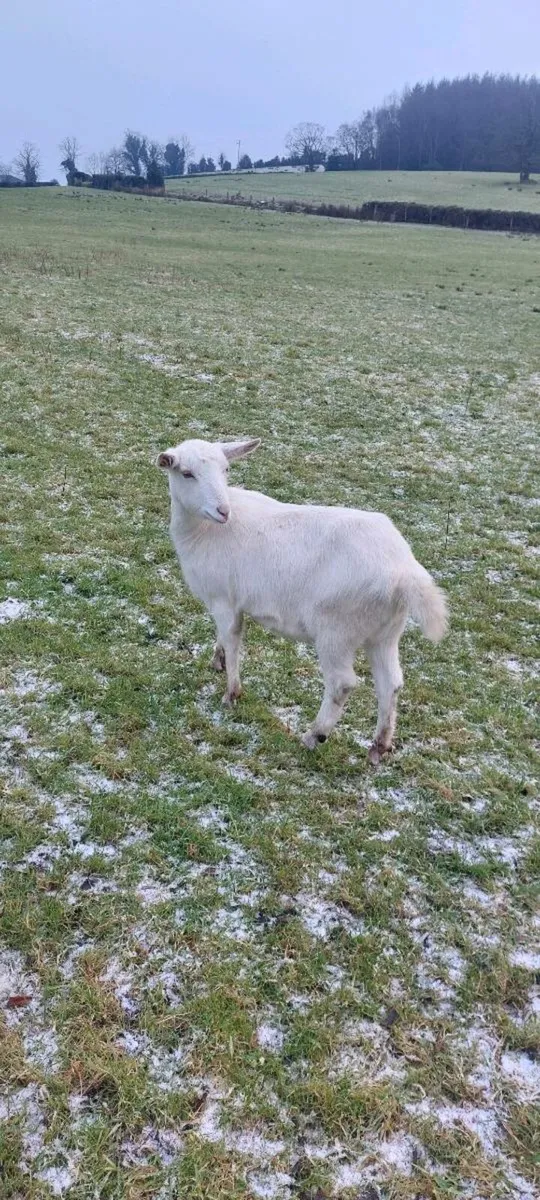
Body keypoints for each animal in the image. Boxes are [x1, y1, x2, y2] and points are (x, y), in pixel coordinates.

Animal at [157, 438, 448, 764]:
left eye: (226, 469)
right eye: (187, 474)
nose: (223, 510)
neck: (203, 531)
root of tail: (405, 572)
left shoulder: (224, 600)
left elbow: (232, 641)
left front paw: (231, 693)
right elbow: (222, 639)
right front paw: (216, 661)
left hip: (337, 630)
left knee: (342, 684)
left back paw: (314, 736)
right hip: (384, 632)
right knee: (391, 684)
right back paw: (379, 746)